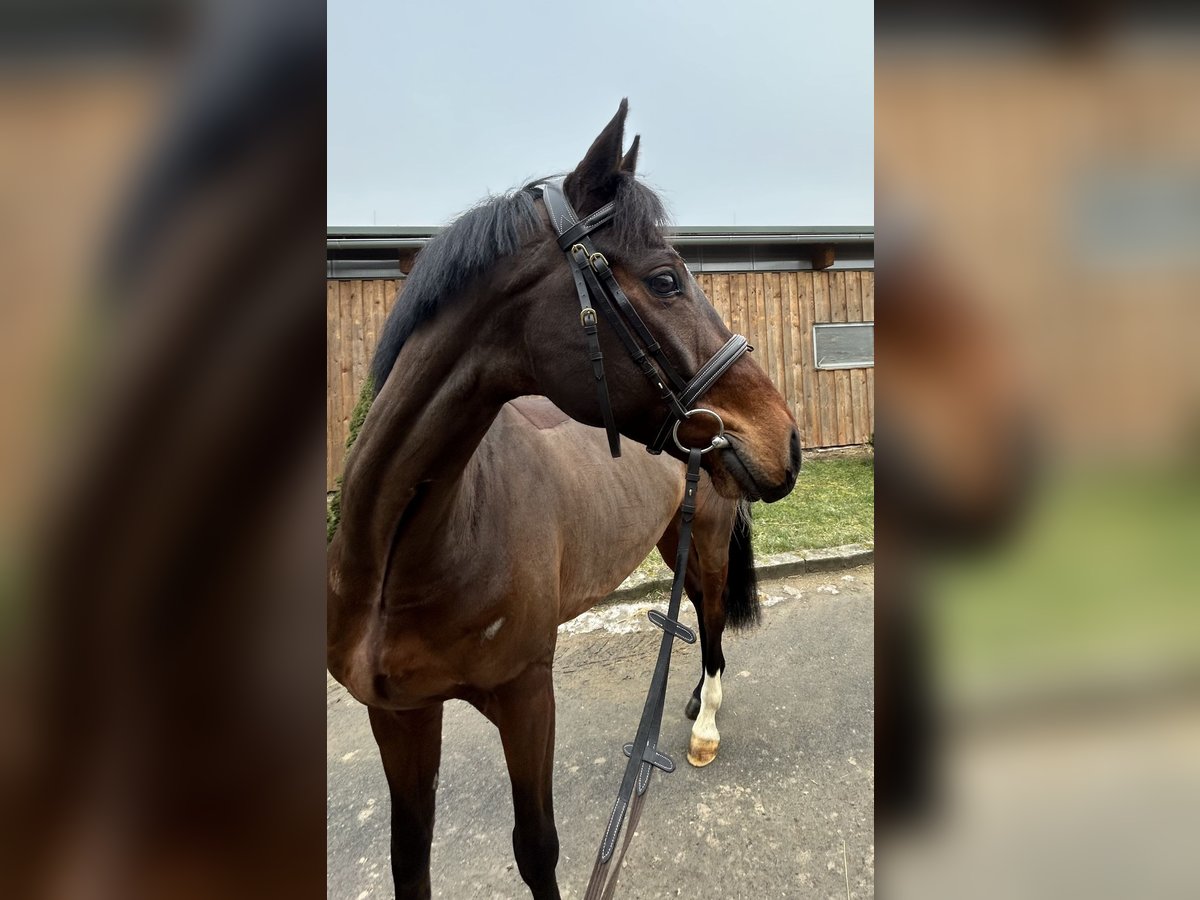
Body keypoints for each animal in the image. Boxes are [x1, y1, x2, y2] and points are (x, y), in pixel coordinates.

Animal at [324, 100, 801, 900]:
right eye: (666, 281)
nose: (785, 440)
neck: (406, 552)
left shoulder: (526, 695)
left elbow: (536, 848)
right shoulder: (400, 715)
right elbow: (409, 858)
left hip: (705, 538)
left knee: (707, 615)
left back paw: (705, 724)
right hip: (672, 534)